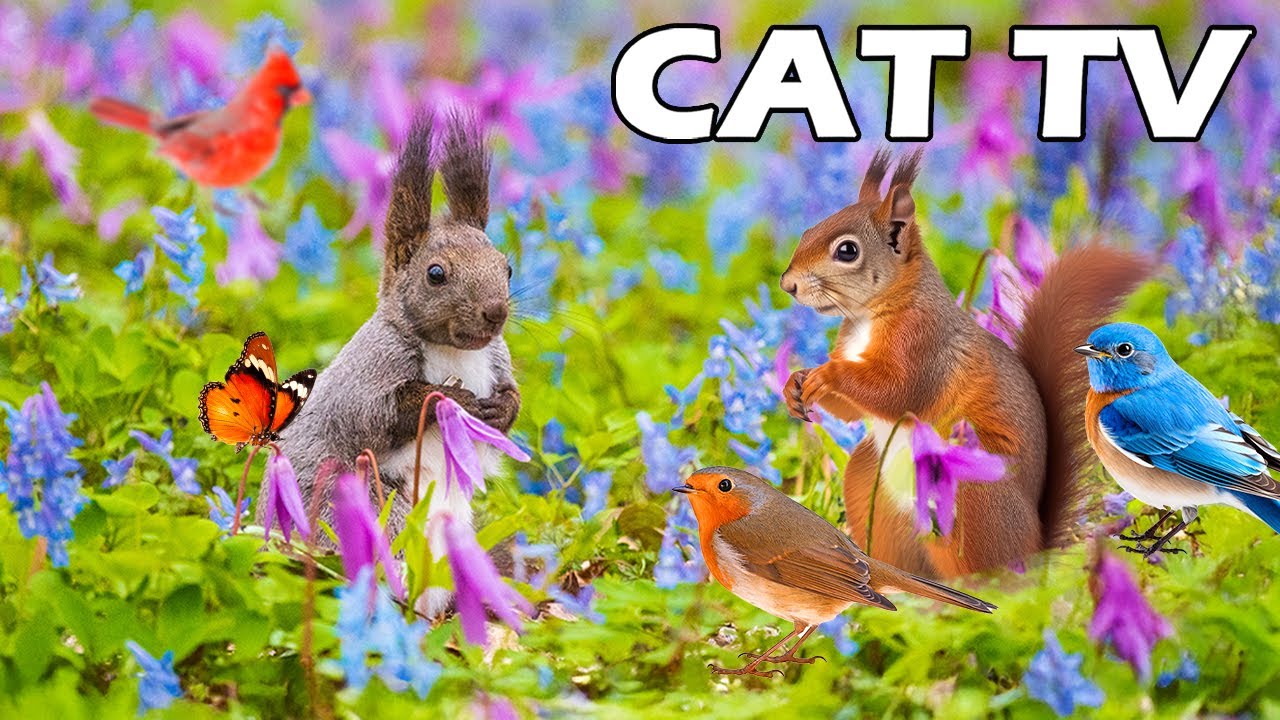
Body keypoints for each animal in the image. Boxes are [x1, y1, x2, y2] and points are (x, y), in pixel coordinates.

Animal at [270, 111, 520, 610]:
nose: (496, 312)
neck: (455, 351)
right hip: (375, 506)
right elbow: (374, 414)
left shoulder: (495, 358)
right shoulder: (372, 368)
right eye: (435, 274)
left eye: (506, 267)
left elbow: (511, 402)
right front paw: (450, 400)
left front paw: (501, 407)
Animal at [779, 148, 1151, 578]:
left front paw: (827, 375)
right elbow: (853, 411)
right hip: (868, 485)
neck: (867, 317)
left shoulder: (925, 344)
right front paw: (795, 383)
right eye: (807, 232)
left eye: (847, 251)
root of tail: (1035, 549)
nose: (787, 284)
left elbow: (896, 391)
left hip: (973, 498)